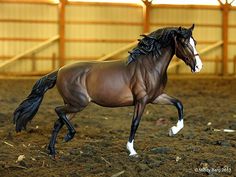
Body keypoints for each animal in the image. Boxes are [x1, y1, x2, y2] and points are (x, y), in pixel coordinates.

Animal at [12, 24, 202, 157]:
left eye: (195, 42)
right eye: (184, 43)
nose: (199, 66)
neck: (148, 66)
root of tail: (59, 71)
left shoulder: (156, 97)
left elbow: (179, 104)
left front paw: (173, 130)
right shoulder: (141, 100)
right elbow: (135, 123)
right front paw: (131, 151)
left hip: (74, 106)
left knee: (58, 121)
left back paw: (53, 150)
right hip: (77, 104)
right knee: (58, 111)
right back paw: (69, 136)